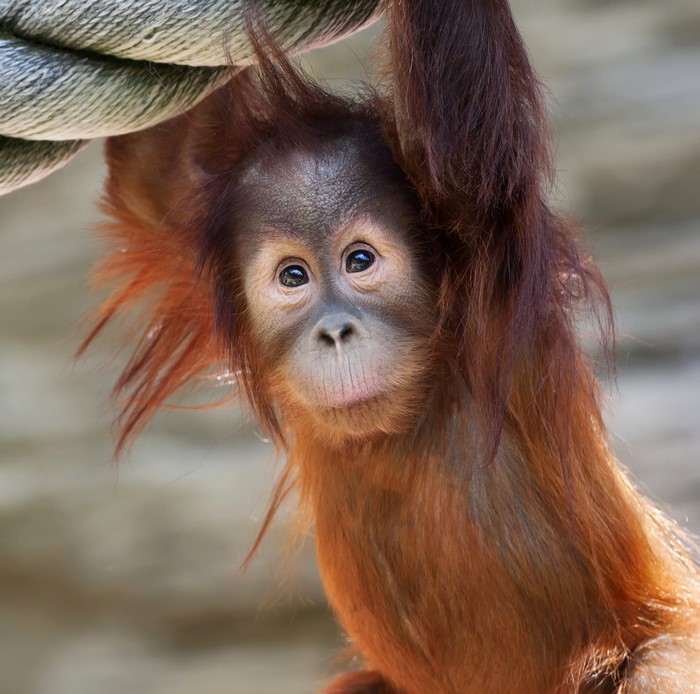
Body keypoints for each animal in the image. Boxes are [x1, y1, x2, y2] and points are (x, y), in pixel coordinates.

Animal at [80, 1, 700, 692]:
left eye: (360, 261)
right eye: (293, 276)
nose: (334, 330)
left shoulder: (485, 252)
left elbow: (463, 134)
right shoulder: (187, 221)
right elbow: (155, 162)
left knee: (657, 668)